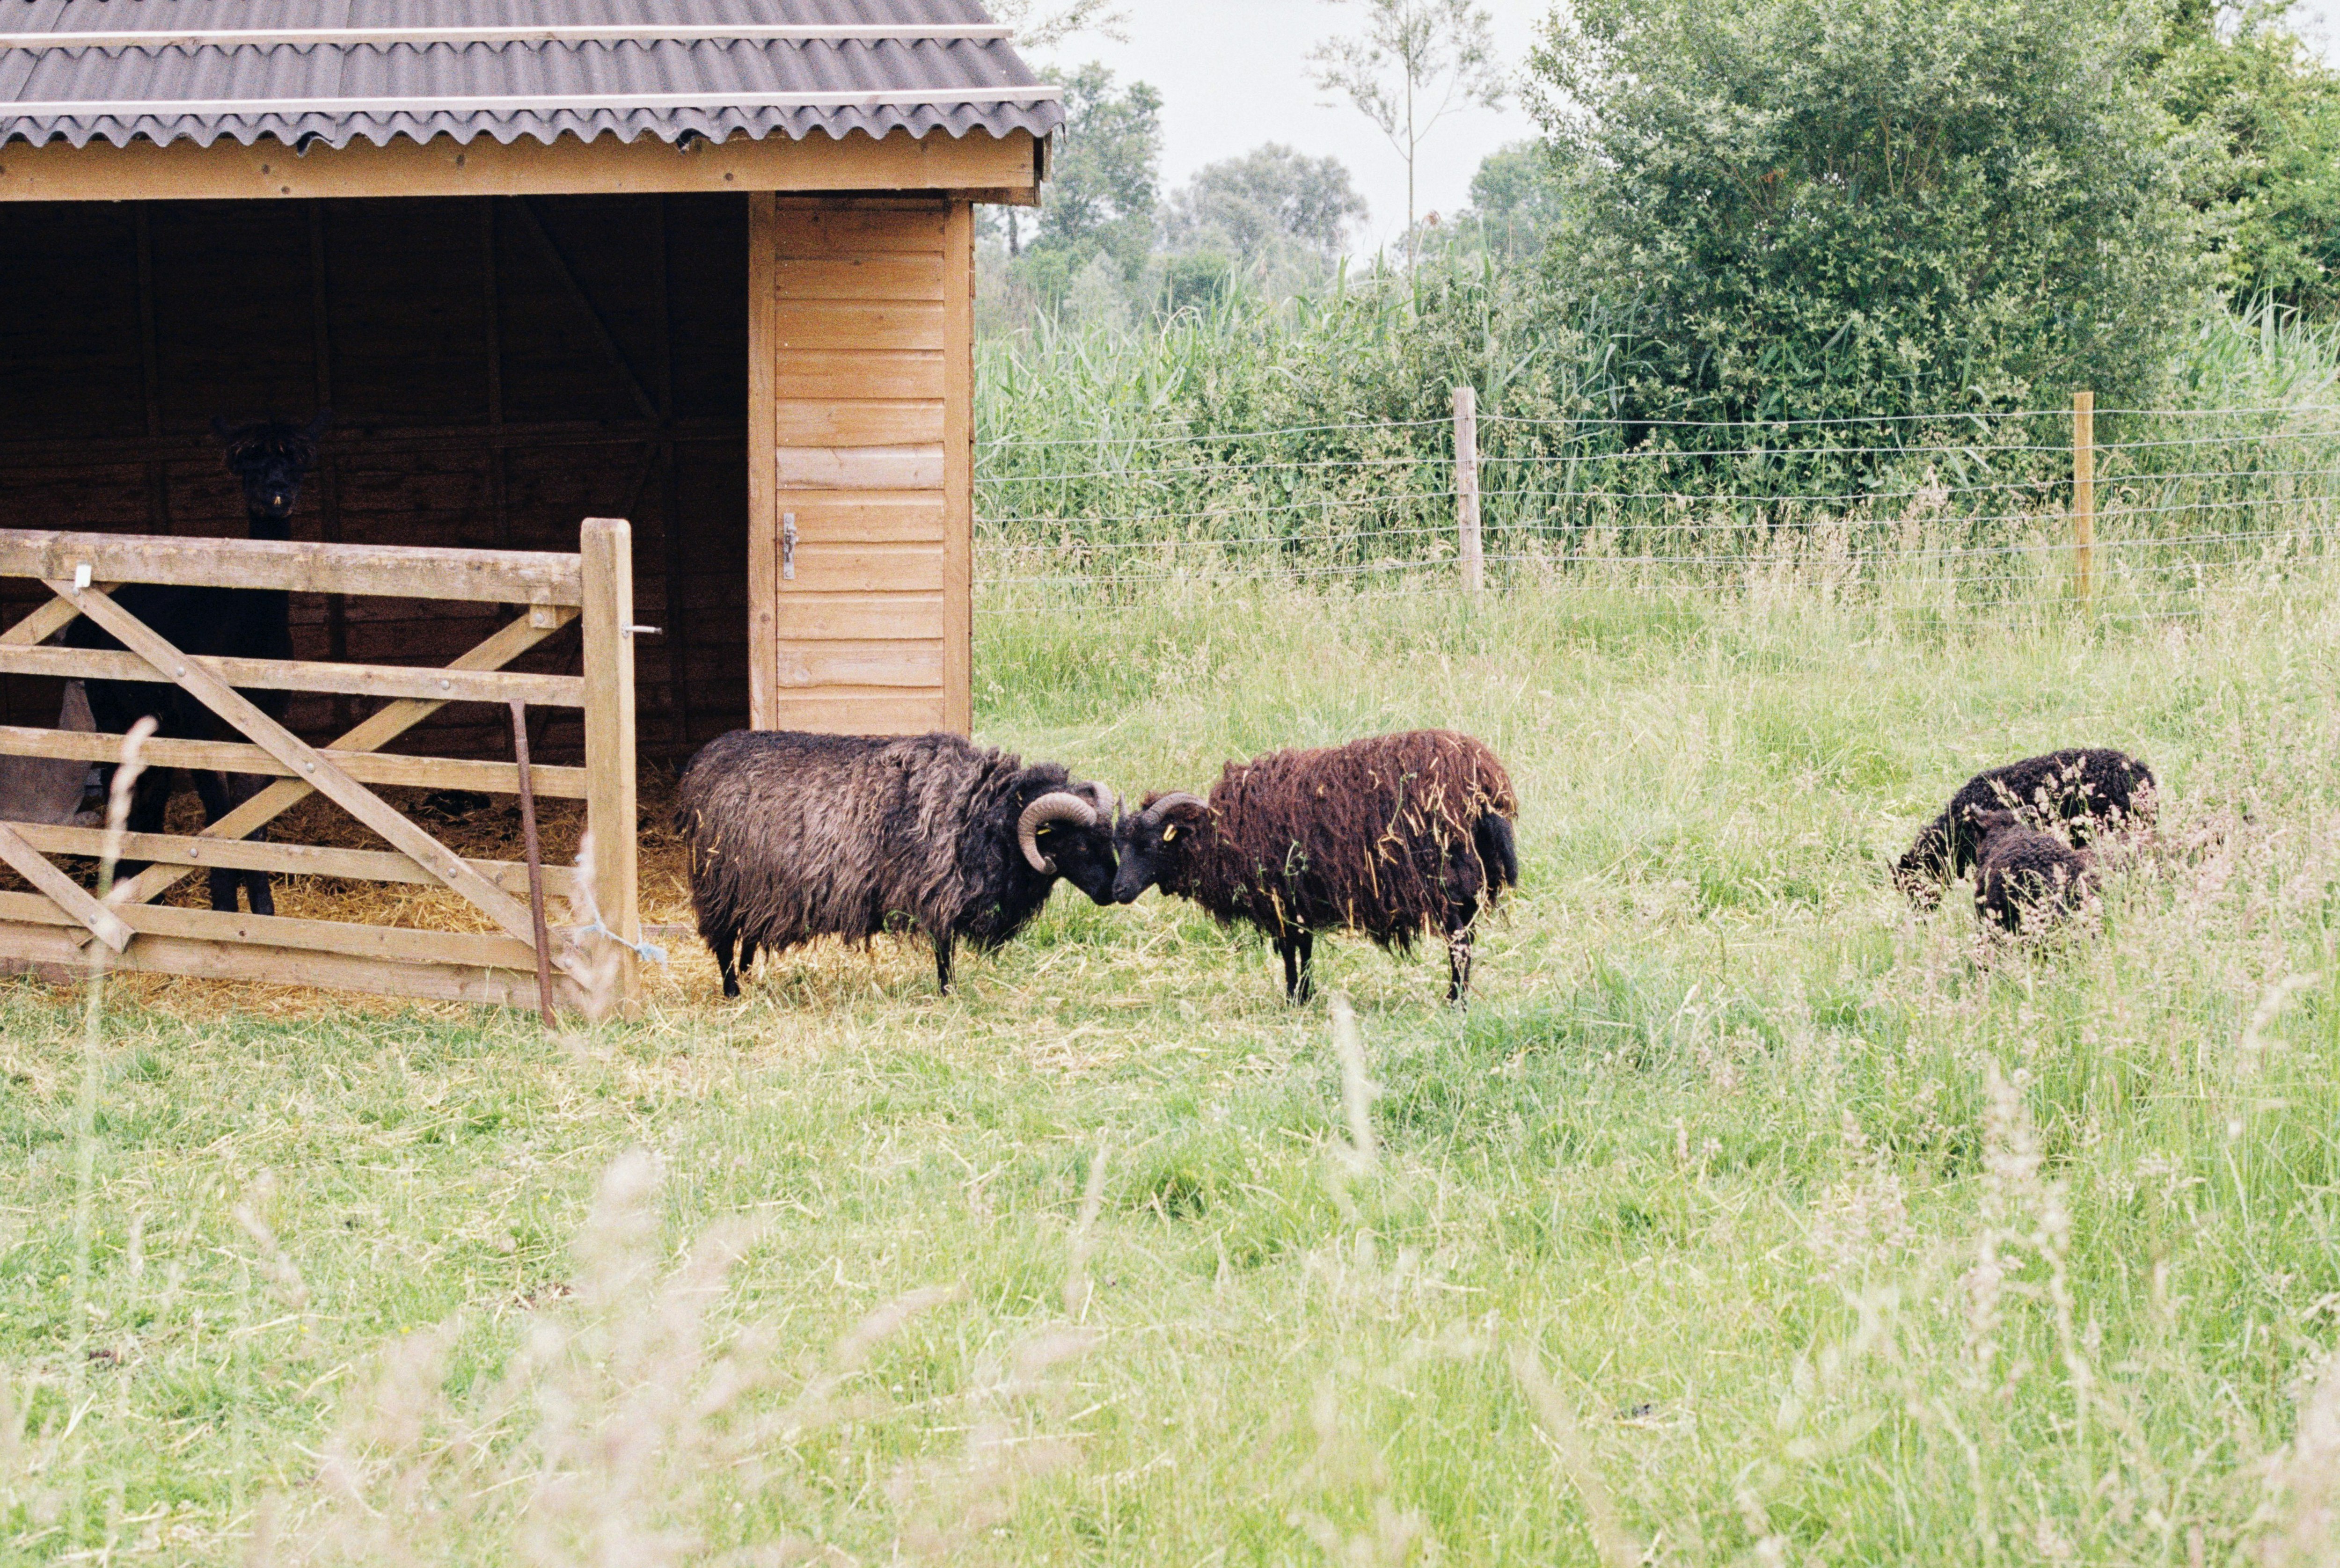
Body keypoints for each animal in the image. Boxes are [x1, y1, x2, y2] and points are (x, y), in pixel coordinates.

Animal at [65, 416, 330, 917]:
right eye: (248, 464)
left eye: (299, 464)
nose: (278, 491)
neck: (248, 639)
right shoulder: (203, 723)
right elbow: (221, 815)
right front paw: (225, 908)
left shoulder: (264, 729)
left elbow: (253, 821)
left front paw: (262, 911)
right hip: (110, 706)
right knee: (117, 787)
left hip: (161, 724)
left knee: (150, 798)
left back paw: (152, 897)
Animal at [674, 730, 1119, 1001]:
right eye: (1078, 842)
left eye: (1108, 837)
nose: (1113, 891)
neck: (985, 814)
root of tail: (700, 765)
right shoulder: (938, 890)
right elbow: (944, 950)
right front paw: (948, 992)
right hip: (721, 882)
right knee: (723, 942)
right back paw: (733, 992)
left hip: (756, 888)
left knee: (746, 936)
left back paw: (749, 979)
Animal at [1109, 730, 1516, 1006]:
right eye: (1118, 845)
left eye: (1150, 845)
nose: (1117, 891)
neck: (1220, 836)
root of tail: (1486, 783)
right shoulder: (1296, 901)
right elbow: (1303, 949)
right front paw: (1304, 995)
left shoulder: (1283, 898)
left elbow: (1294, 951)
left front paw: (1295, 998)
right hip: (1471, 882)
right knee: (1467, 938)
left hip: (1444, 880)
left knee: (1459, 942)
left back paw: (1455, 1001)